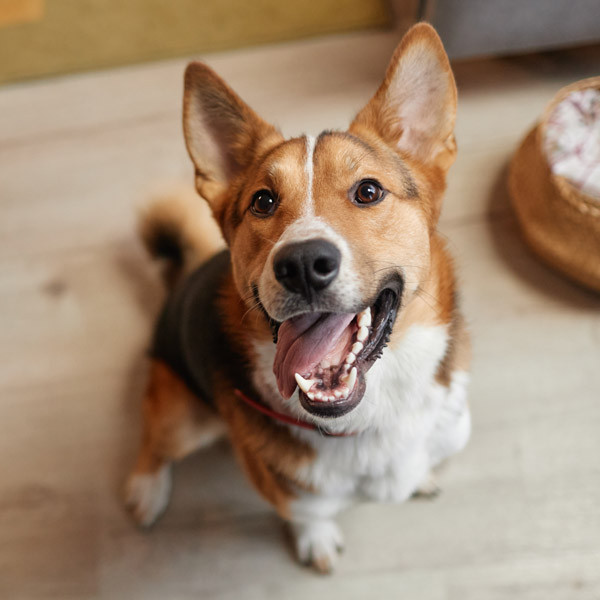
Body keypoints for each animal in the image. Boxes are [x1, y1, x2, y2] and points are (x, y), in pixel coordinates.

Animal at [126, 23, 472, 576]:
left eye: (368, 191)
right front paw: (317, 539)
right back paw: (146, 488)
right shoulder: (289, 491)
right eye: (263, 201)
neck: (368, 419)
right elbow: (308, 513)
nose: (303, 264)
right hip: (183, 415)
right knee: (153, 440)